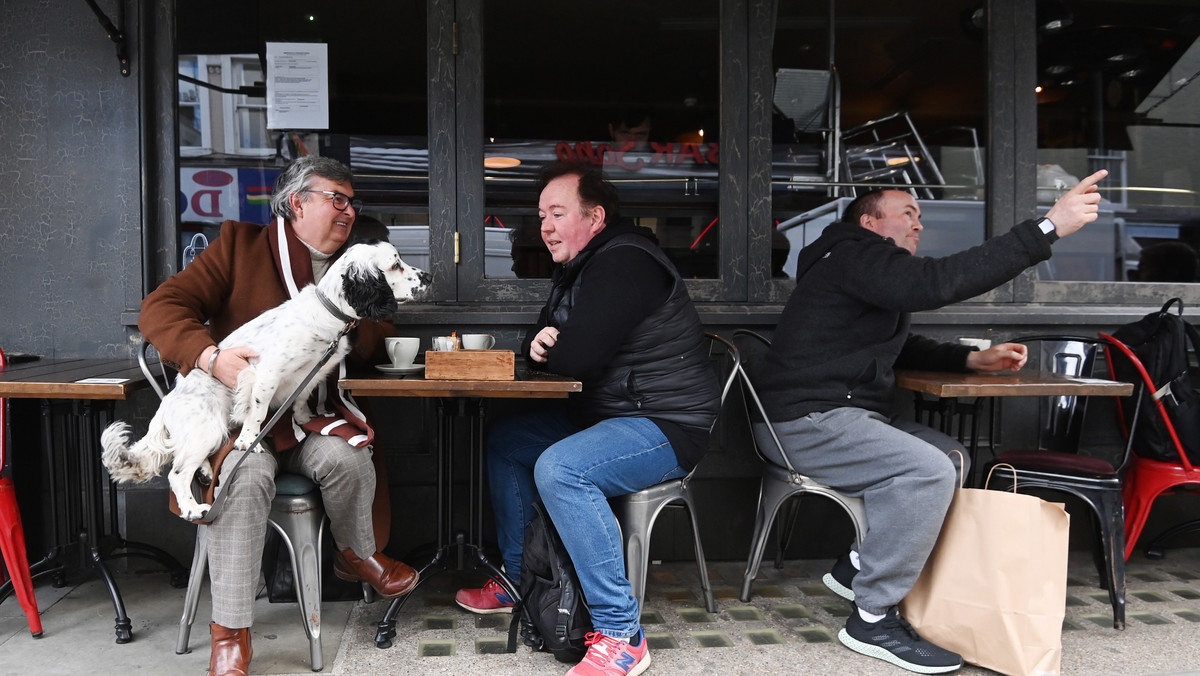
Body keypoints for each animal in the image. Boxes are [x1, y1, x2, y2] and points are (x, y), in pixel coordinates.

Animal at [102, 240, 432, 521]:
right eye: (395, 264)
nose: (428, 276)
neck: (328, 314)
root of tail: (167, 403)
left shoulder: (312, 373)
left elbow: (301, 398)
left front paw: (306, 419)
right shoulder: (267, 373)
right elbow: (257, 412)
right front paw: (249, 440)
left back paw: (207, 470)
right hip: (208, 427)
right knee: (177, 473)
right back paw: (193, 508)